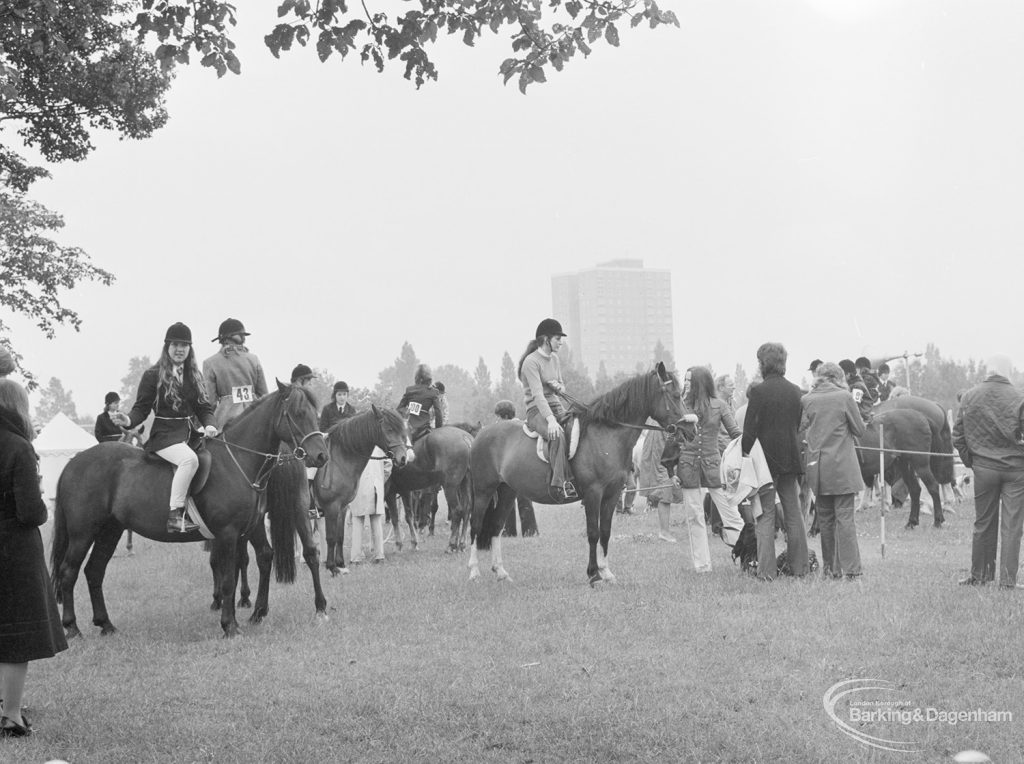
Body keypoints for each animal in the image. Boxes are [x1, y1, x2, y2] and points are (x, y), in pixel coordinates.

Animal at [49, 380, 327, 634]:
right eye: (297, 413)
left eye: (316, 413)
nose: (322, 456)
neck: (238, 462)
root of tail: (74, 462)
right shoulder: (227, 533)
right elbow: (228, 577)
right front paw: (229, 625)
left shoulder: (246, 530)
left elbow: (248, 565)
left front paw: (245, 615)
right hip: (82, 533)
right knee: (68, 572)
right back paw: (72, 627)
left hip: (109, 531)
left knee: (94, 571)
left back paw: (105, 624)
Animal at [387, 421, 475, 553]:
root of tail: (465, 438)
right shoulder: (405, 490)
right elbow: (408, 515)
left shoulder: (391, 492)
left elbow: (395, 517)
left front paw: (400, 544)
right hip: (464, 483)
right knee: (467, 509)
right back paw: (461, 544)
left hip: (450, 487)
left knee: (457, 511)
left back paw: (451, 545)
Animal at [468, 362, 684, 581]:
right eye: (675, 395)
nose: (687, 428)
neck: (606, 436)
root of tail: (481, 434)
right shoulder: (593, 493)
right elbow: (593, 532)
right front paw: (593, 574)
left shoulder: (612, 494)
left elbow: (605, 532)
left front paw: (606, 572)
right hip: (483, 491)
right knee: (475, 526)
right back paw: (474, 571)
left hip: (507, 491)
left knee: (496, 527)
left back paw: (501, 572)